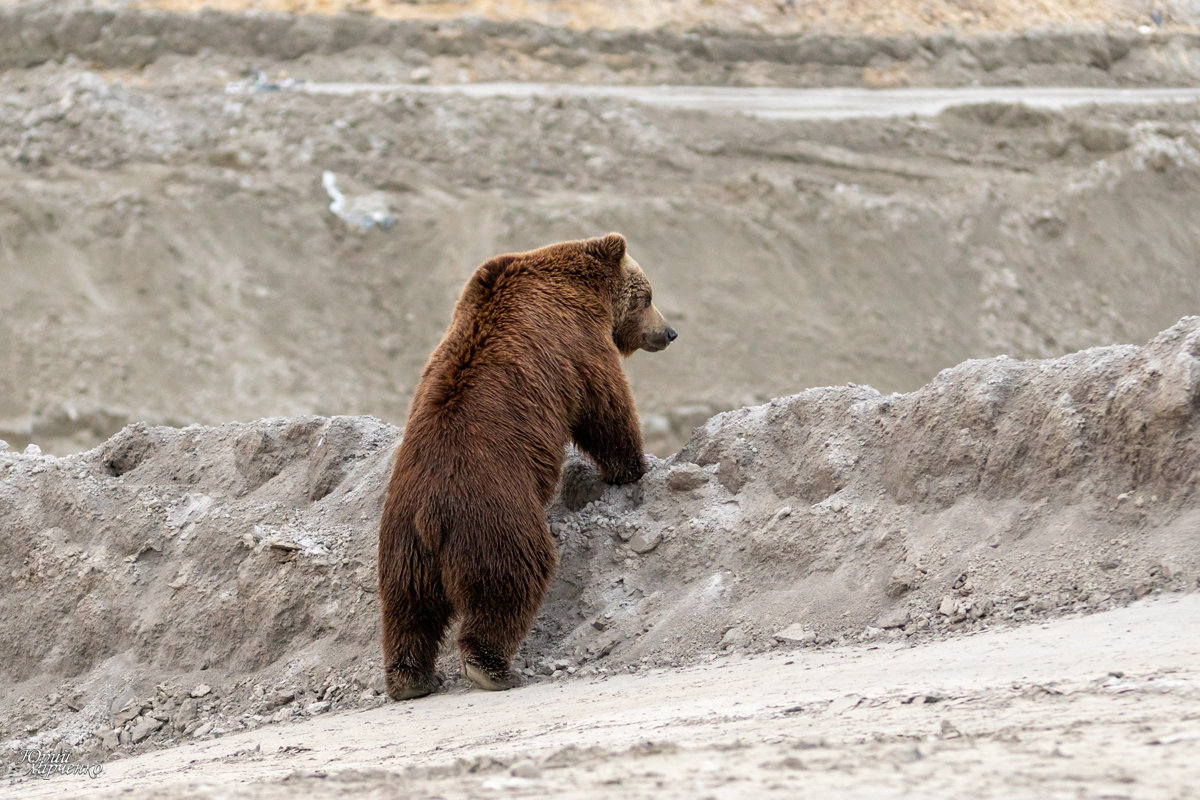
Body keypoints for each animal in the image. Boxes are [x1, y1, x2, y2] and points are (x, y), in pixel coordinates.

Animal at [376, 232, 676, 700]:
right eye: (646, 296)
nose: (669, 332)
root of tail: (430, 514)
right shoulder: (578, 344)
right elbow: (606, 407)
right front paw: (631, 467)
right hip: (494, 519)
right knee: (510, 582)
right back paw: (493, 668)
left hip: (404, 545)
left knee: (408, 609)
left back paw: (412, 679)